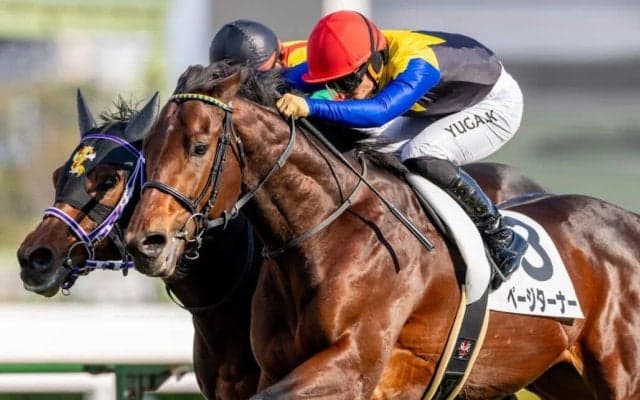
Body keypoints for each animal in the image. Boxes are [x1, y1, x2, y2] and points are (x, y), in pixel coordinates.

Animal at [124, 62, 640, 400]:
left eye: (198, 146)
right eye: (146, 149)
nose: (144, 241)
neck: (328, 235)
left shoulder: (354, 364)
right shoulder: (274, 366)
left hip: (623, 378)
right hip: (562, 378)